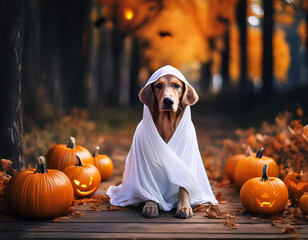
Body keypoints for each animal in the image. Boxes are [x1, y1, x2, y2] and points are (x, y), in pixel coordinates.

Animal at [138, 73, 199, 218]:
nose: (168, 101)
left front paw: (184, 207)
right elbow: (150, 186)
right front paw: (151, 205)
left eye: (176, 85)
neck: (167, 124)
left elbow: (184, 186)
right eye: (158, 85)